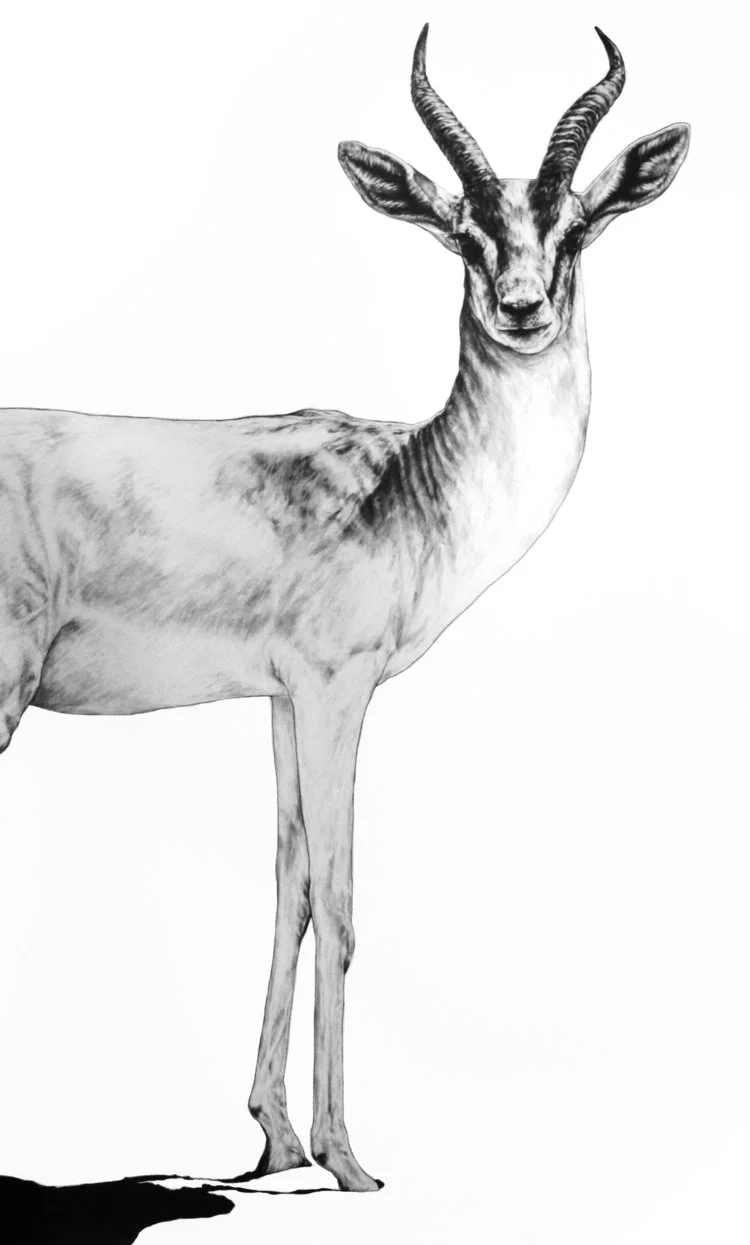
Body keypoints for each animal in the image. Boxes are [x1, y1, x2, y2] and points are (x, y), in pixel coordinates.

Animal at [0, 27, 688, 1192]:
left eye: (574, 226)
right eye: (464, 234)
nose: (523, 309)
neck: (404, 483)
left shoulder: (282, 700)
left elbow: (290, 891)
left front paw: (274, 1139)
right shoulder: (337, 687)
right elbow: (344, 902)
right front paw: (349, 1158)